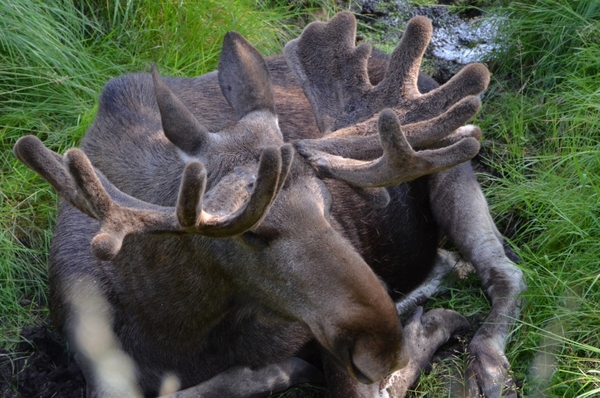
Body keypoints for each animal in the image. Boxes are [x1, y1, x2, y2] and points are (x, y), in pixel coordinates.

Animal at [14, 12, 524, 398]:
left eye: (327, 204)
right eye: (253, 233)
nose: (383, 346)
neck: (175, 323)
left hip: (454, 162)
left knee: (504, 270)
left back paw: (488, 365)